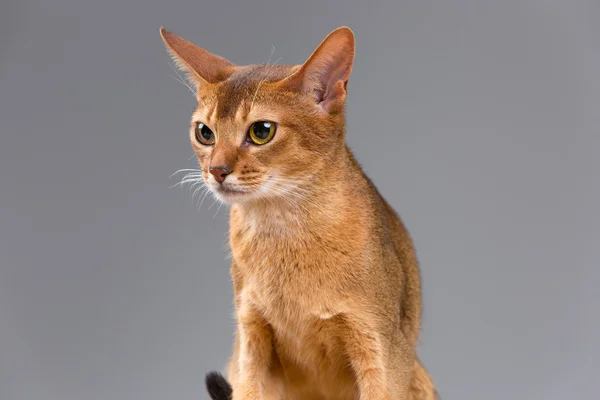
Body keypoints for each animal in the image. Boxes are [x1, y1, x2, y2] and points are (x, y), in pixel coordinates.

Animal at [162, 25, 438, 400]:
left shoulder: (380, 350)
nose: (217, 170)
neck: (283, 229)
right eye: (204, 133)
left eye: (261, 131)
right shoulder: (251, 337)